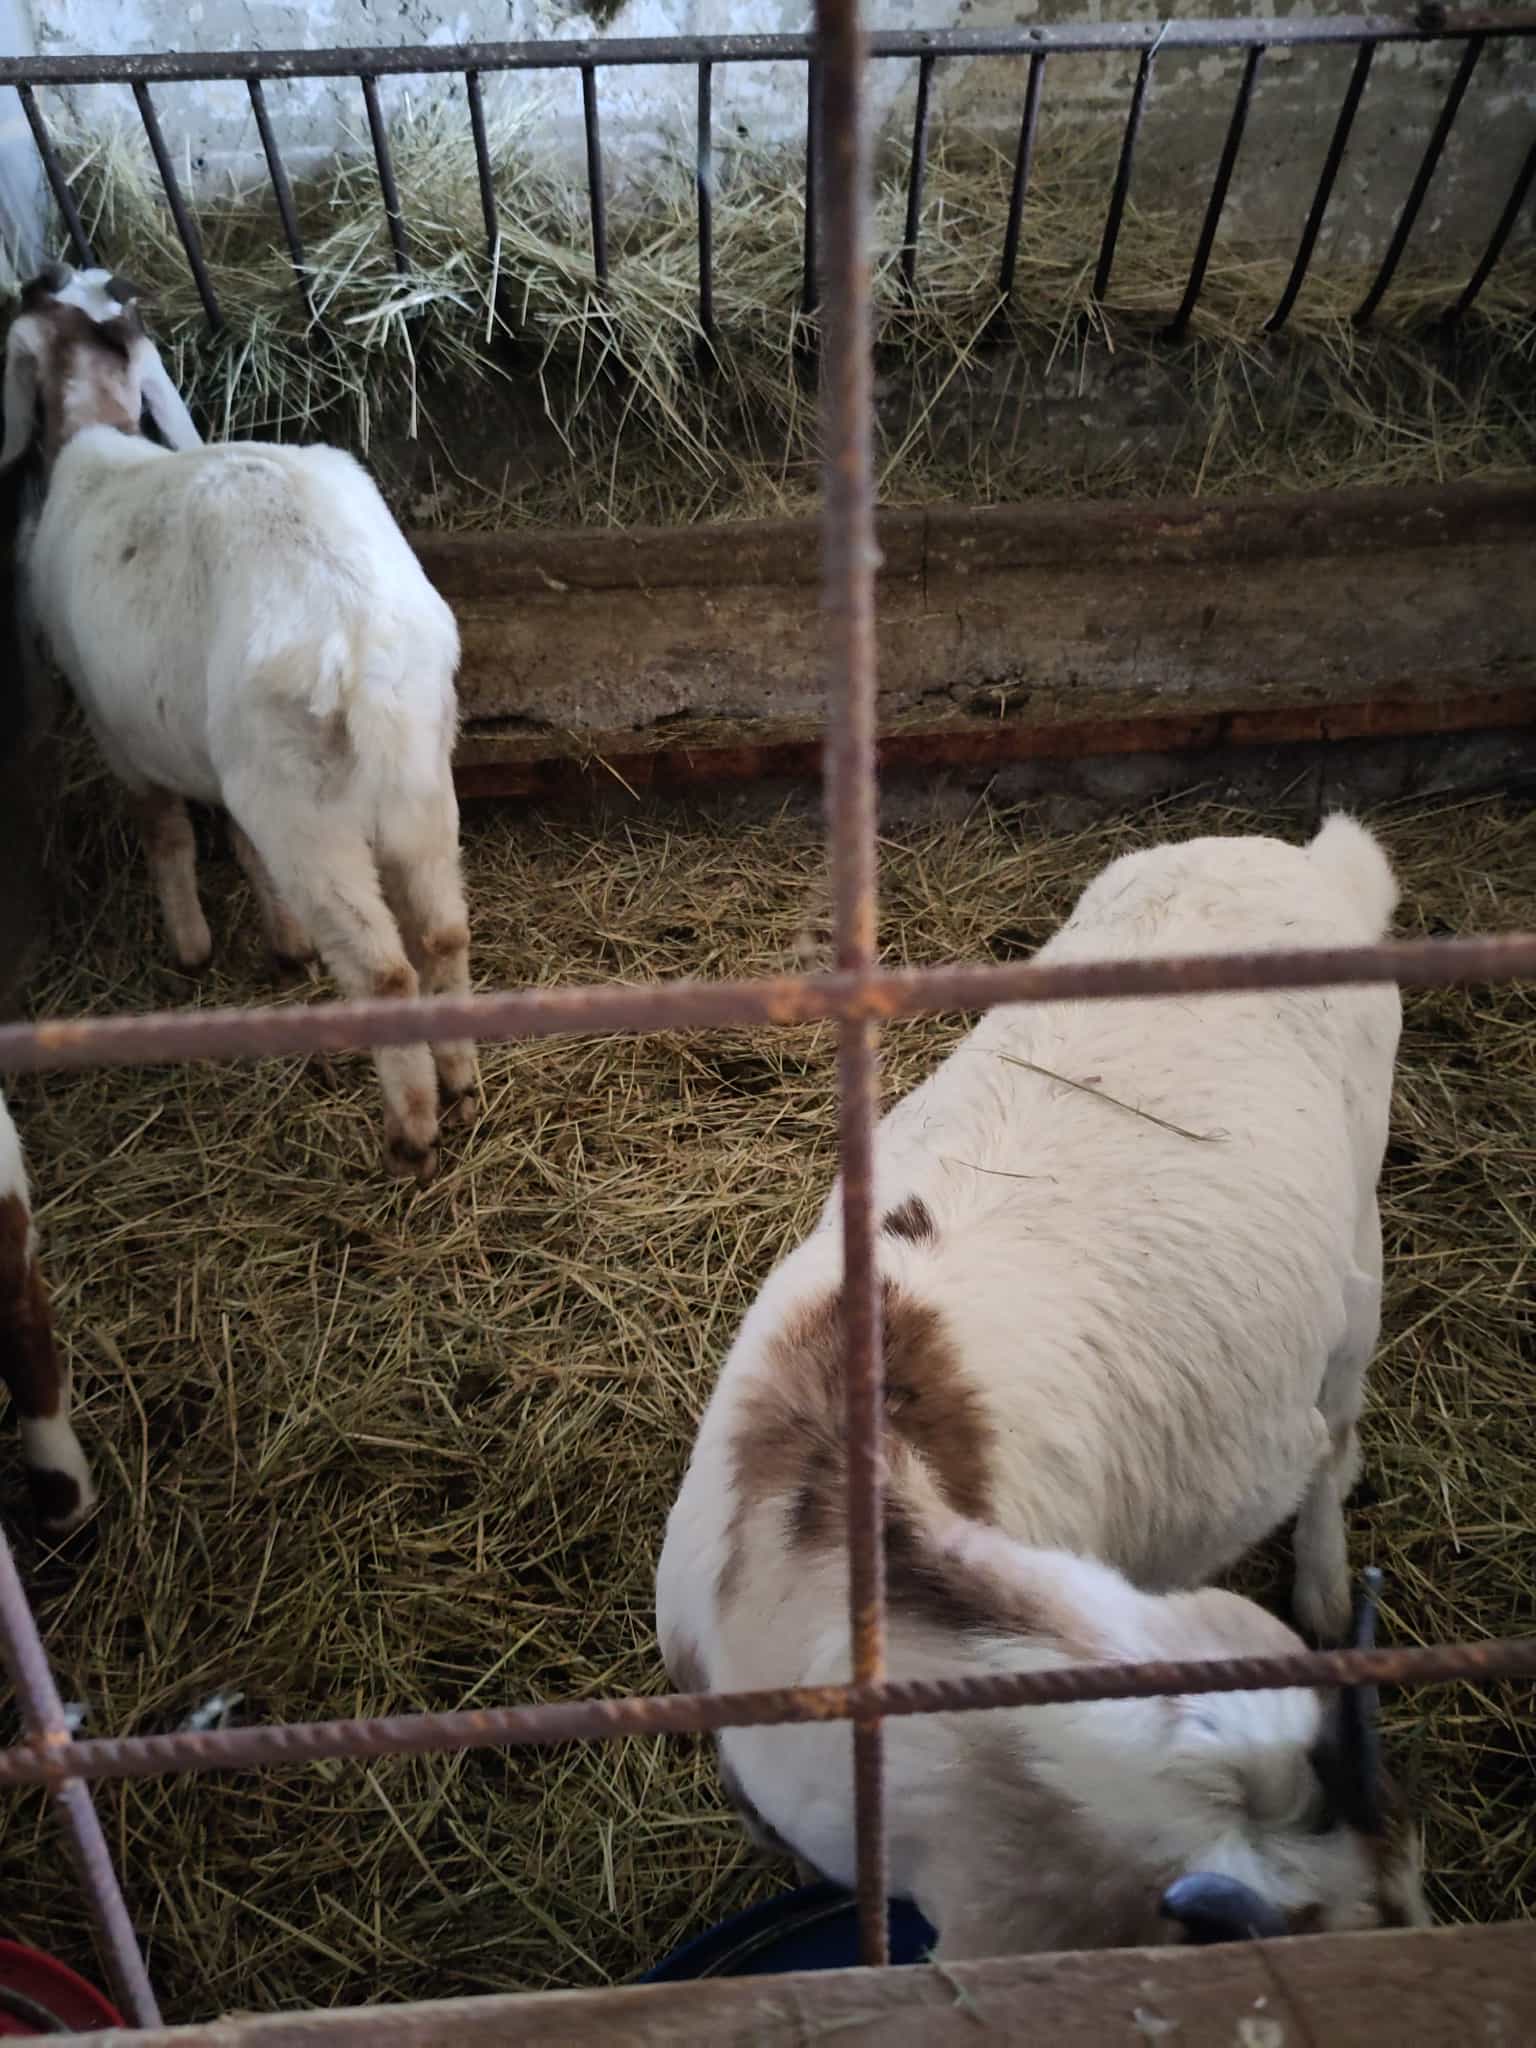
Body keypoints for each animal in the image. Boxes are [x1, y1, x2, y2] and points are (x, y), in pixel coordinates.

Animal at [1, 264, 477, 1183]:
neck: (97, 429)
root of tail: (356, 631)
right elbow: (240, 847)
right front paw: (283, 942)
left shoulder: (121, 739)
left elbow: (167, 835)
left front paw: (191, 947)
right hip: (420, 770)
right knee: (441, 933)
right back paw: (464, 1081)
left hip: (304, 806)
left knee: (384, 972)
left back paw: (410, 1130)